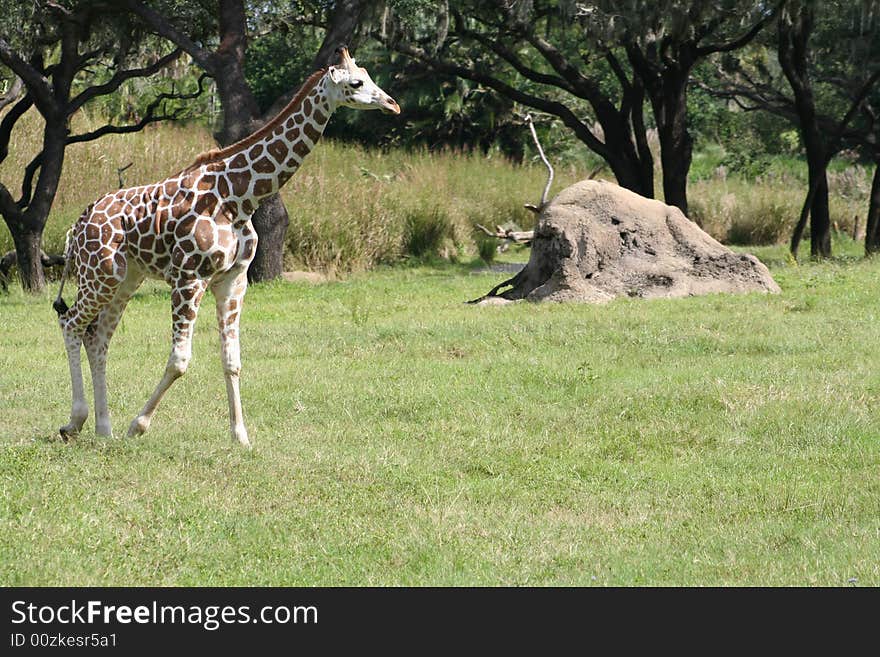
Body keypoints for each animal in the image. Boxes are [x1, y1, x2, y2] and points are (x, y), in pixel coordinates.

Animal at [54, 46, 398, 446]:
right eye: (356, 82)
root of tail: (77, 225)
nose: (392, 104)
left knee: (97, 337)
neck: (240, 197)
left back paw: (103, 429)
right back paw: (74, 421)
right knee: (71, 323)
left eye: (369, 75)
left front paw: (240, 436)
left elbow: (232, 361)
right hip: (99, 274)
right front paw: (138, 425)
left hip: (125, 279)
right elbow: (180, 360)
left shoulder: (233, 280)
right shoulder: (189, 277)